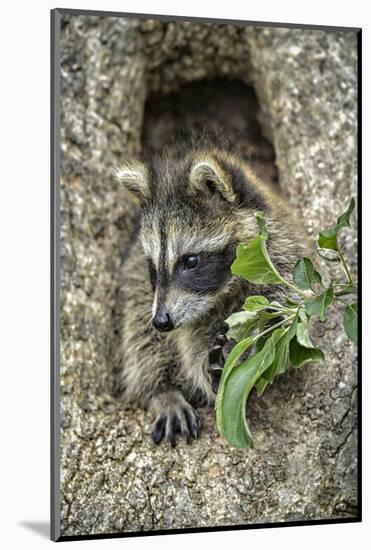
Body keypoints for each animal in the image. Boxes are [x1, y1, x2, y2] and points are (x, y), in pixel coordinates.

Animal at [115, 140, 308, 446]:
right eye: (153, 267)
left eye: (191, 261)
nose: (161, 322)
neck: (224, 292)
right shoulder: (147, 286)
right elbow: (182, 344)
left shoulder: (282, 253)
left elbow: (284, 312)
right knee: (141, 337)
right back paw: (162, 390)